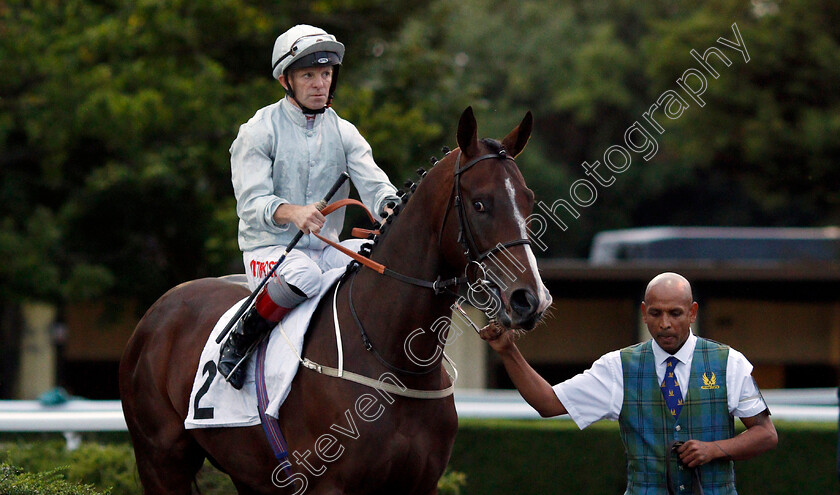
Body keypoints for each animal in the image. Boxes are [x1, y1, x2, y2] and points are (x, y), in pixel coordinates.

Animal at [118, 108, 552, 495]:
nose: (529, 299)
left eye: (528, 199)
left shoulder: (421, 485)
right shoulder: (328, 485)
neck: (394, 363)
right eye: (480, 203)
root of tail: (158, 311)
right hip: (161, 461)